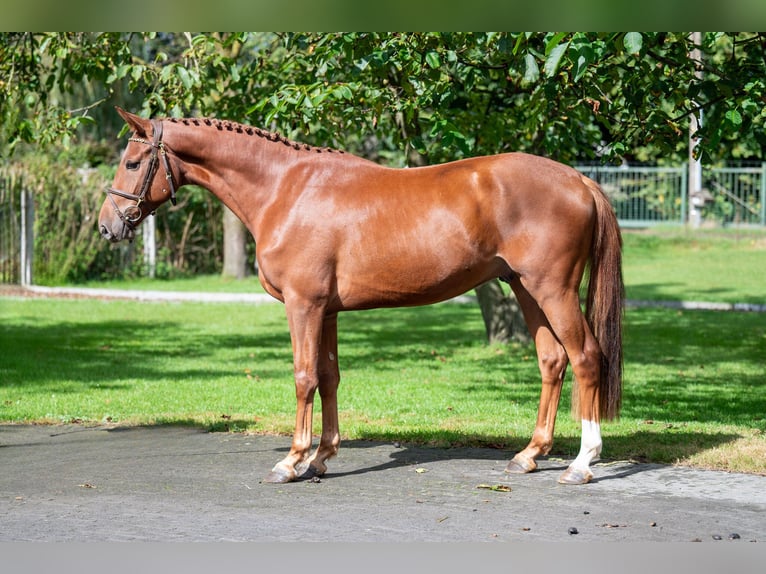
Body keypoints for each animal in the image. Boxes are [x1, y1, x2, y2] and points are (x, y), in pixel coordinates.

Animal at [99, 108, 624, 486]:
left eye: (131, 163)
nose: (107, 226)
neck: (285, 189)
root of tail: (579, 180)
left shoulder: (303, 305)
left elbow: (304, 377)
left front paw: (291, 461)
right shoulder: (326, 310)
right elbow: (330, 377)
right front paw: (321, 458)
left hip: (553, 289)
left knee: (585, 357)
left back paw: (582, 463)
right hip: (524, 288)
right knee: (552, 360)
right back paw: (530, 455)